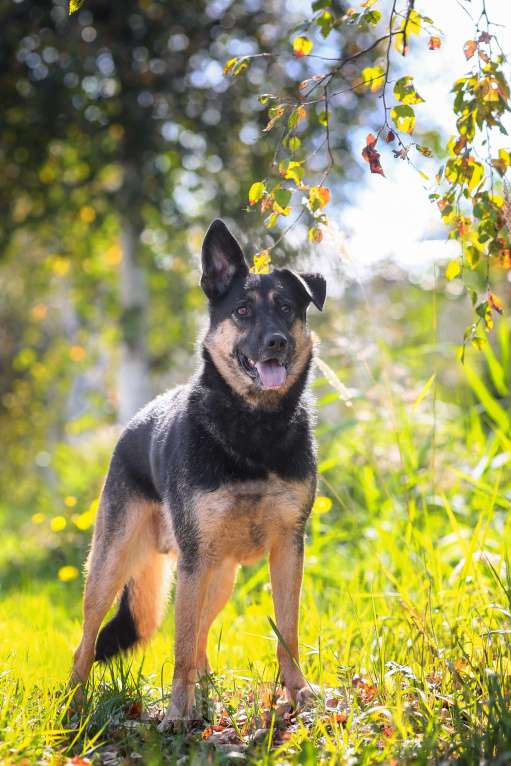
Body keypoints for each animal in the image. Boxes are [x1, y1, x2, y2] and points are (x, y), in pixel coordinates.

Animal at [70, 219, 328, 728]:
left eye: (286, 309)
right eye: (243, 310)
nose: (276, 342)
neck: (254, 426)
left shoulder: (289, 547)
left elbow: (286, 631)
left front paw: (299, 695)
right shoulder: (195, 561)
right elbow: (181, 645)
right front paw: (177, 715)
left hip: (217, 575)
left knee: (202, 634)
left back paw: (210, 694)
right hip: (115, 567)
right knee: (88, 640)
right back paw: (73, 704)